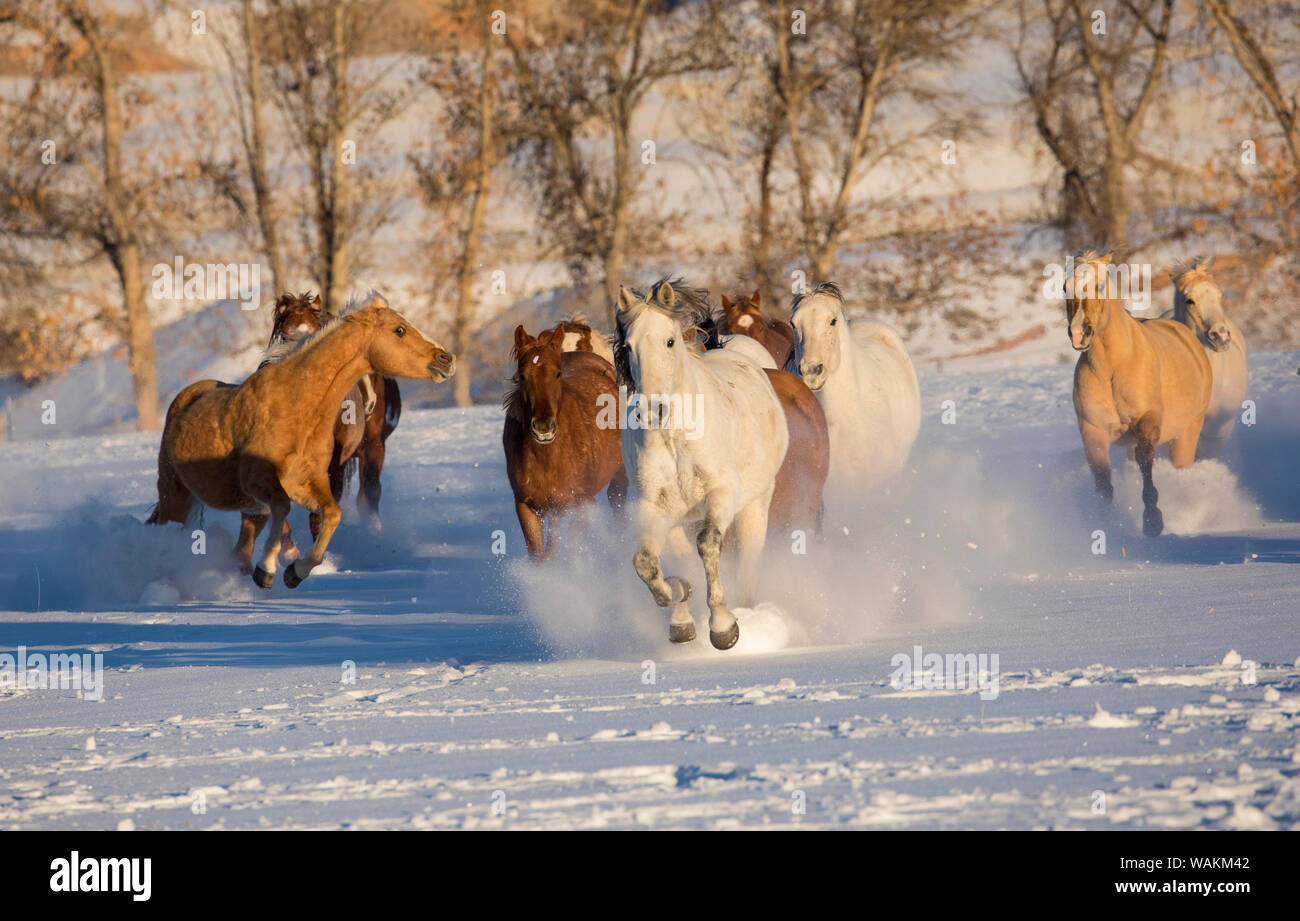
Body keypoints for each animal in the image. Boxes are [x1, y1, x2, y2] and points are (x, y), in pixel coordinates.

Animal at [504, 324, 627, 559]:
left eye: (557, 374)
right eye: (522, 376)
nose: (543, 427)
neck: (547, 457)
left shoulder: (582, 505)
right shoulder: (527, 507)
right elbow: (540, 556)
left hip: (619, 474)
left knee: (617, 502)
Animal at [615, 278, 788, 650]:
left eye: (669, 341)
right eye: (630, 346)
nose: (652, 410)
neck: (676, 439)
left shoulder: (721, 495)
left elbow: (708, 545)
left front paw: (723, 627)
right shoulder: (655, 506)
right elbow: (647, 562)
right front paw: (680, 603)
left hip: (756, 504)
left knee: (748, 560)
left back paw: (749, 616)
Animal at [1067, 250, 1212, 537]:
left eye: (1100, 286)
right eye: (1065, 287)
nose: (1078, 333)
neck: (1113, 367)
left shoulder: (1148, 422)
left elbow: (1146, 464)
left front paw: (1152, 520)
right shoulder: (1092, 430)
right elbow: (1102, 478)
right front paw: (1106, 522)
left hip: (1187, 432)